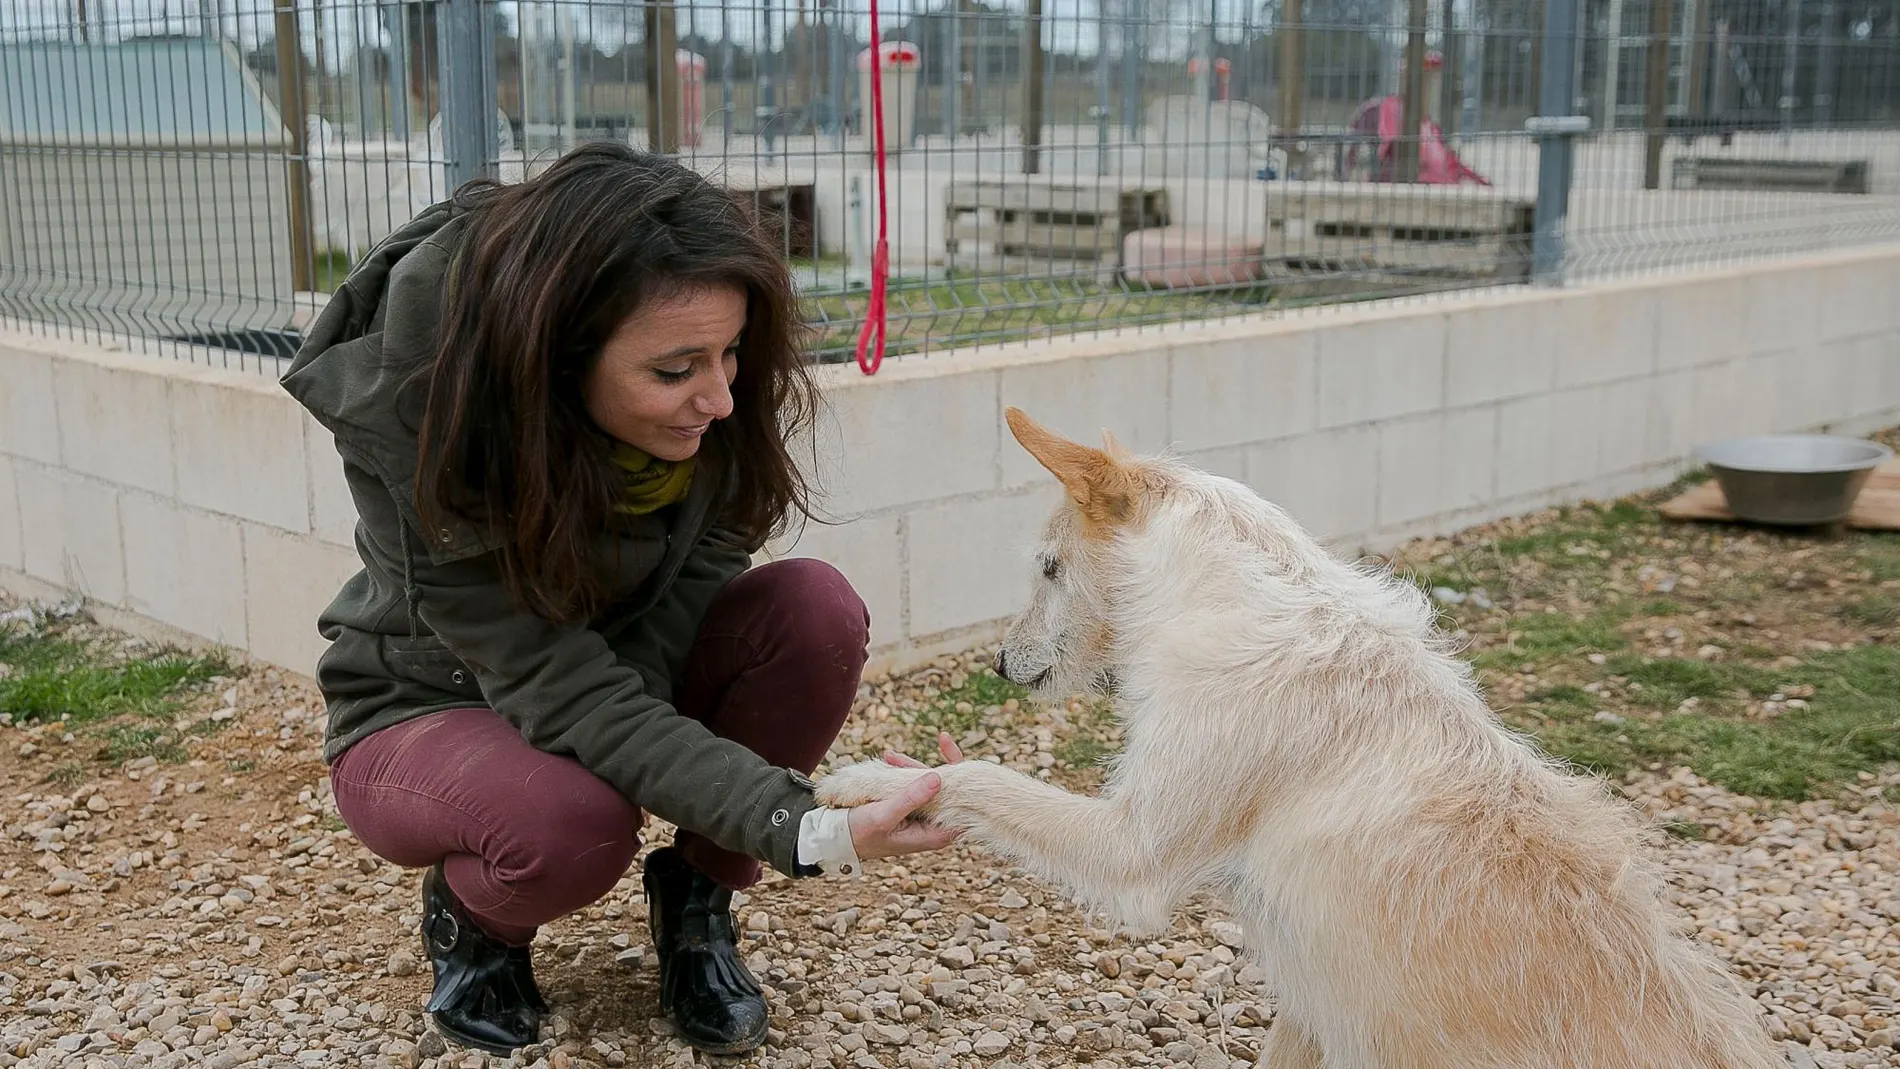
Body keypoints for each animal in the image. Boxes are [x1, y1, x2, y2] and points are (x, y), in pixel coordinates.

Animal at [824, 410, 1786, 1069]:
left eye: (1050, 569)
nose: (998, 662)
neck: (1233, 599)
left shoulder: (1135, 848)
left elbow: (983, 776)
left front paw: (864, 783)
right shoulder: (1314, 998)